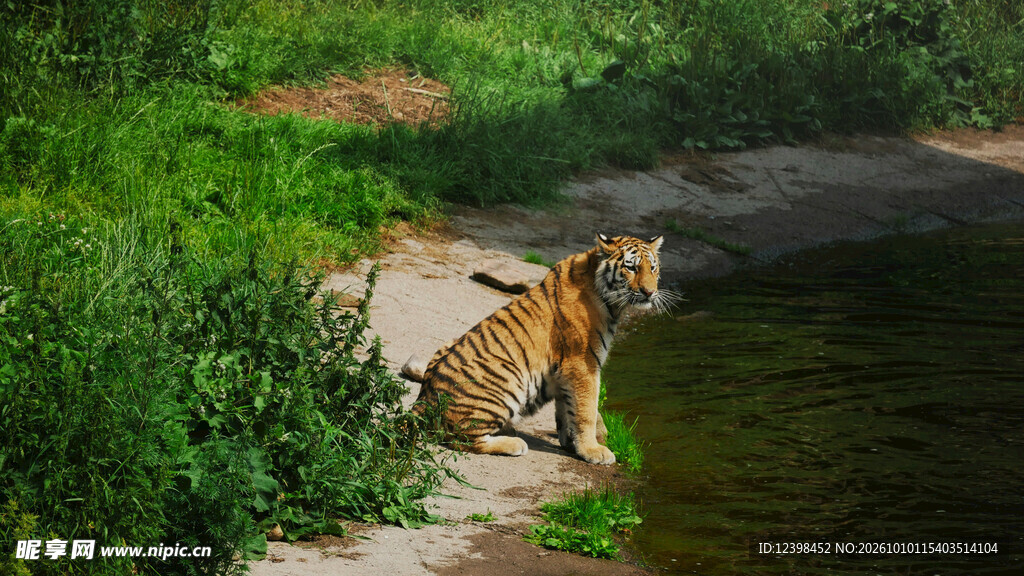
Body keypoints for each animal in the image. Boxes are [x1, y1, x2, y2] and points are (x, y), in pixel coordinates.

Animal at [412, 233, 674, 465]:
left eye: (653, 268)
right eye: (632, 268)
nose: (650, 292)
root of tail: (424, 400)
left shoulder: (566, 373)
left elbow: (567, 410)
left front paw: (572, 444)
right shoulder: (583, 365)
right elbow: (586, 411)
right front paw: (594, 451)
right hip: (509, 375)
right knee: (460, 437)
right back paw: (514, 442)